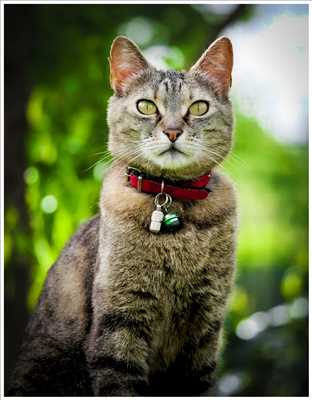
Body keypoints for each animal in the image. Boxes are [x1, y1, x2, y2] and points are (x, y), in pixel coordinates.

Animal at [8, 35, 236, 396]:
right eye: (147, 106)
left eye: (199, 107)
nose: (173, 131)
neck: (173, 202)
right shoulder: (120, 319)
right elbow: (119, 379)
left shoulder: (205, 326)